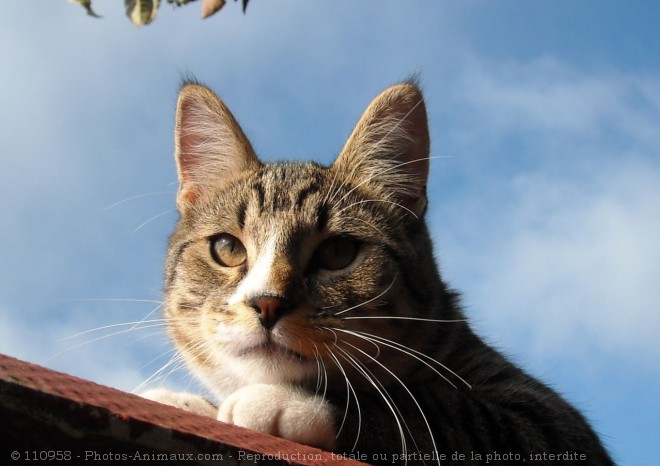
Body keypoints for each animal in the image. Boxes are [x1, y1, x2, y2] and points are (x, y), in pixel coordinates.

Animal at [142, 79, 616, 462]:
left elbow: (438, 412)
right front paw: (191, 403)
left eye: (338, 251)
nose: (267, 302)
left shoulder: (554, 425)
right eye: (227, 248)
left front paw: (286, 402)